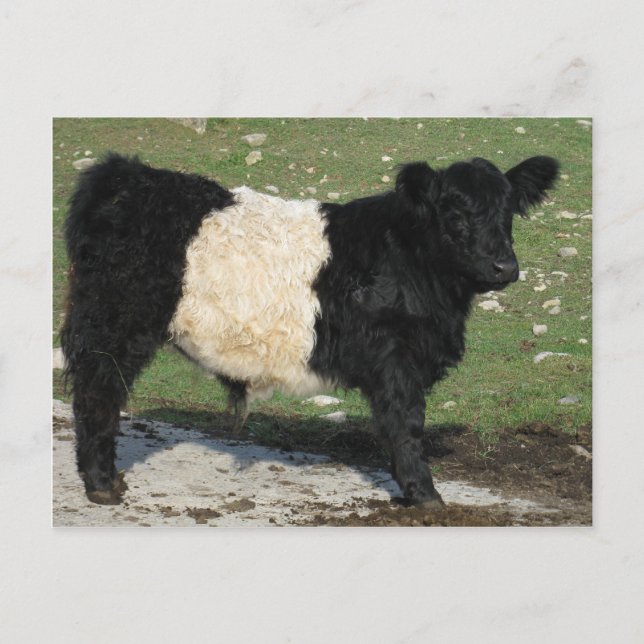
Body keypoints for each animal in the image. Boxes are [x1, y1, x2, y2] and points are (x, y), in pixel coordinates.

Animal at [60, 152, 559, 506]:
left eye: (509, 212)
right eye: (455, 213)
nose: (505, 267)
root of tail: (126, 175)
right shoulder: (396, 357)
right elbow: (405, 423)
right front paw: (425, 496)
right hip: (114, 324)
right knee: (98, 393)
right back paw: (102, 485)